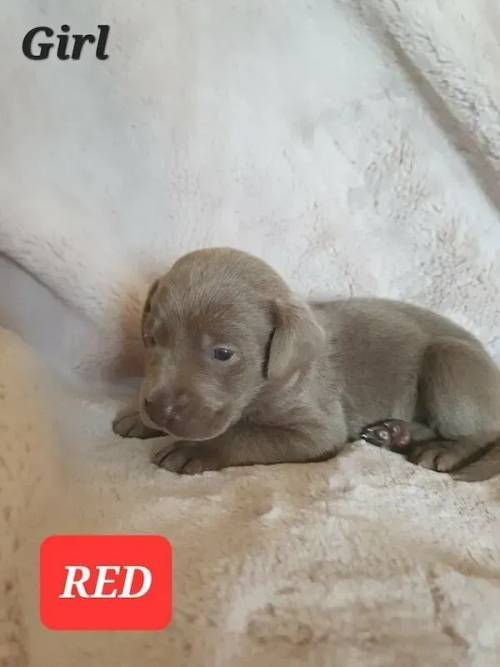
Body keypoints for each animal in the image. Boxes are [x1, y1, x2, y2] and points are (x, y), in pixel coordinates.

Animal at [112, 245, 500, 480]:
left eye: (223, 353)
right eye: (151, 339)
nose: (158, 409)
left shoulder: (315, 428)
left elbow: (244, 434)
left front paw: (193, 449)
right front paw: (138, 417)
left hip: (449, 357)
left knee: (482, 432)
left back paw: (443, 450)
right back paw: (394, 433)